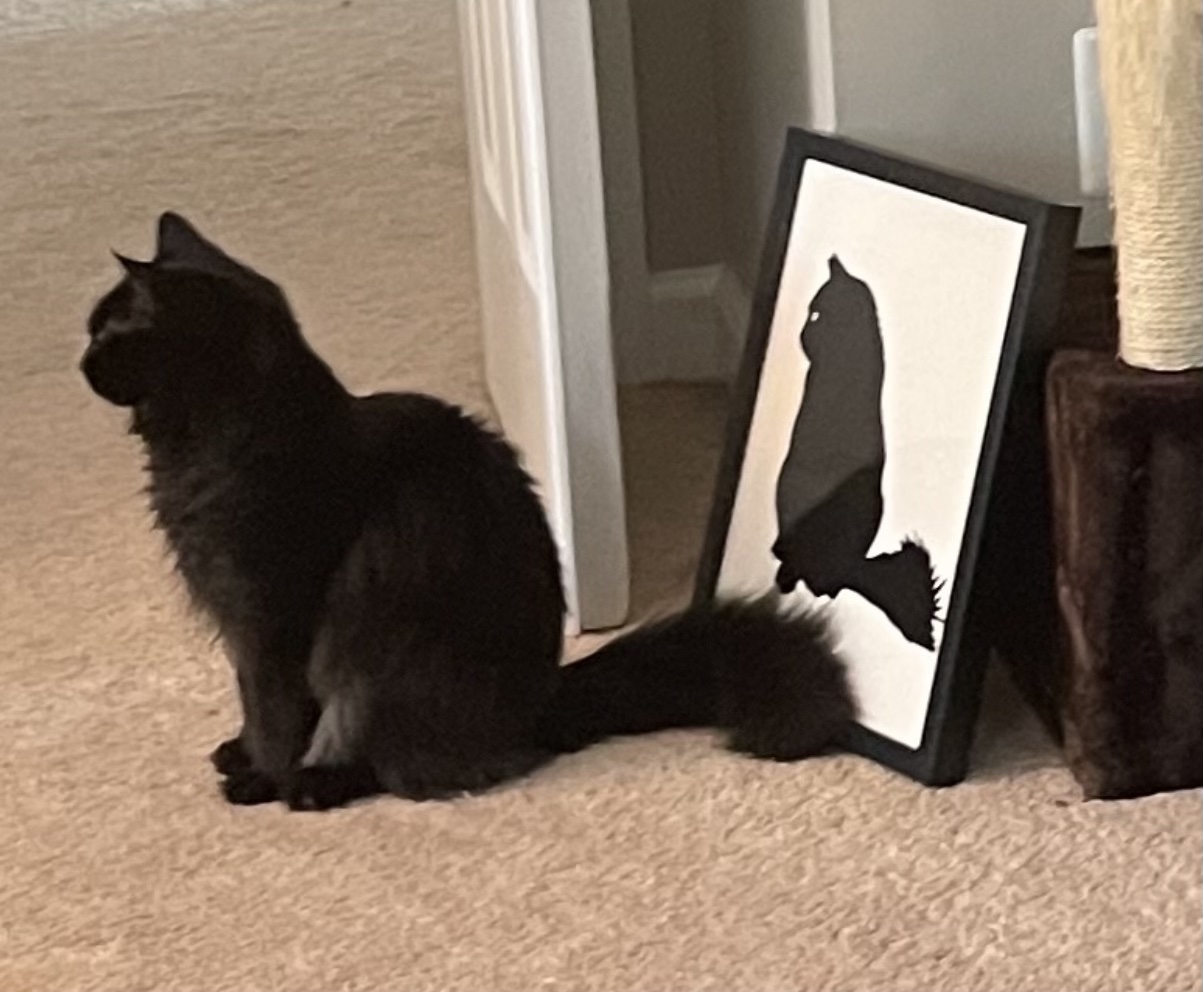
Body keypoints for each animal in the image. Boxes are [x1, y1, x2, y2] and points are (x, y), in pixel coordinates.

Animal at [82, 212, 856, 808]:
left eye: (108, 334)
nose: (79, 363)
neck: (220, 443)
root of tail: (545, 698)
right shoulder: (240, 622)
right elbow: (253, 708)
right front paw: (242, 756)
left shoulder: (268, 615)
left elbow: (275, 714)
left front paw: (263, 780)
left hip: (377, 659)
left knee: (388, 759)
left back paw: (315, 786)